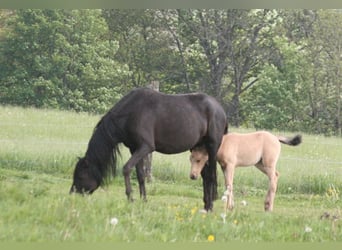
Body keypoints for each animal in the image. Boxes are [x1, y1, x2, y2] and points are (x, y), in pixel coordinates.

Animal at [69, 88, 227, 211]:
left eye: (80, 176)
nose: (72, 194)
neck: (130, 113)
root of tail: (220, 109)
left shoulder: (145, 147)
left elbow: (127, 168)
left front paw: (130, 198)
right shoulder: (135, 148)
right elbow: (140, 175)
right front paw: (143, 200)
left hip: (212, 147)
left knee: (211, 175)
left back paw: (210, 206)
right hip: (199, 147)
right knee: (205, 175)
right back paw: (205, 205)